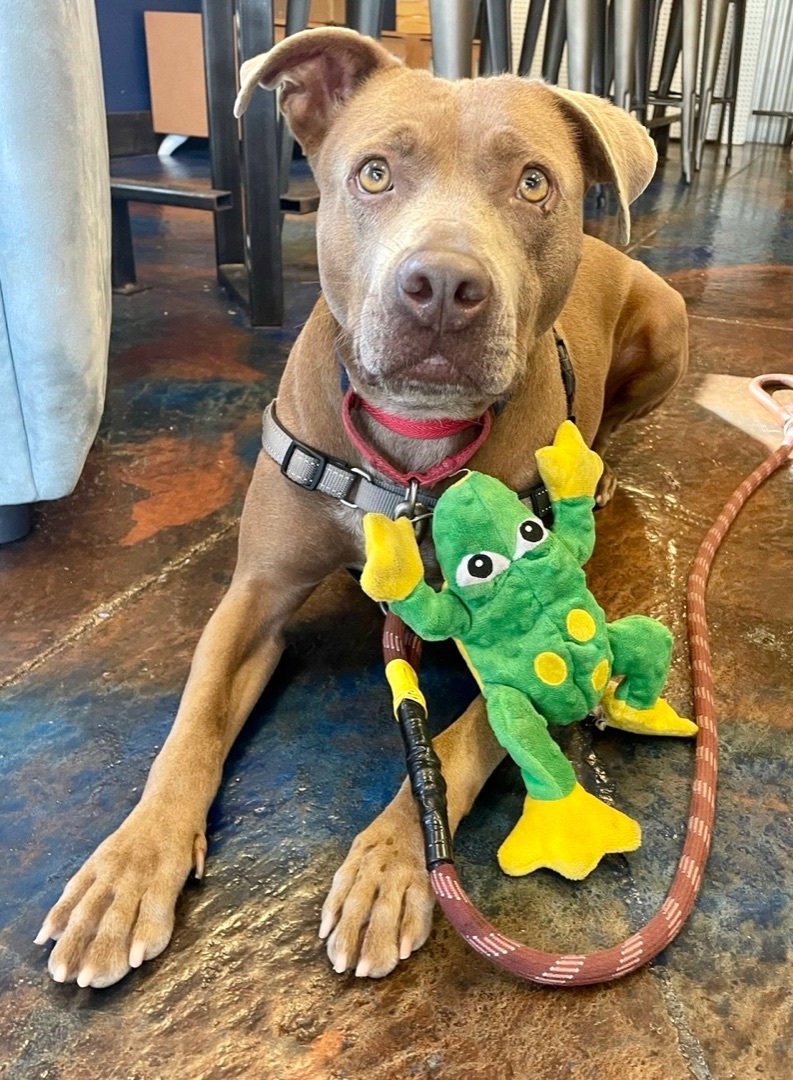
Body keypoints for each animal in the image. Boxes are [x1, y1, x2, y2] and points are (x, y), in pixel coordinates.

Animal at [34, 25, 687, 989]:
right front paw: (127, 868)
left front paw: (388, 867)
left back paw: (599, 470)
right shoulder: (254, 599)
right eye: (374, 173)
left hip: (667, 321)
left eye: (533, 184)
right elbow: (190, 728)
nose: (443, 286)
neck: (409, 449)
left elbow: (459, 740)